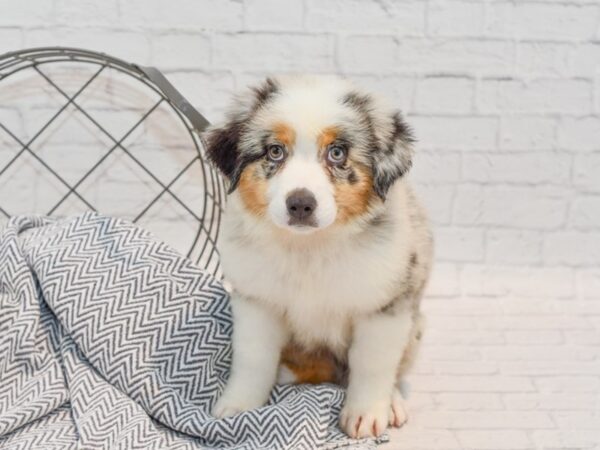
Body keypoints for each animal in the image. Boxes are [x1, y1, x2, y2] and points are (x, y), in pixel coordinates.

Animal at [204, 75, 434, 438]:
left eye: (336, 153)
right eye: (275, 151)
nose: (300, 204)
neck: (309, 249)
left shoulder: (384, 307)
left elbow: (373, 364)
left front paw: (367, 413)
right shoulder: (256, 301)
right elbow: (253, 358)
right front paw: (239, 406)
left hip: (415, 323)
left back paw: (393, 401)